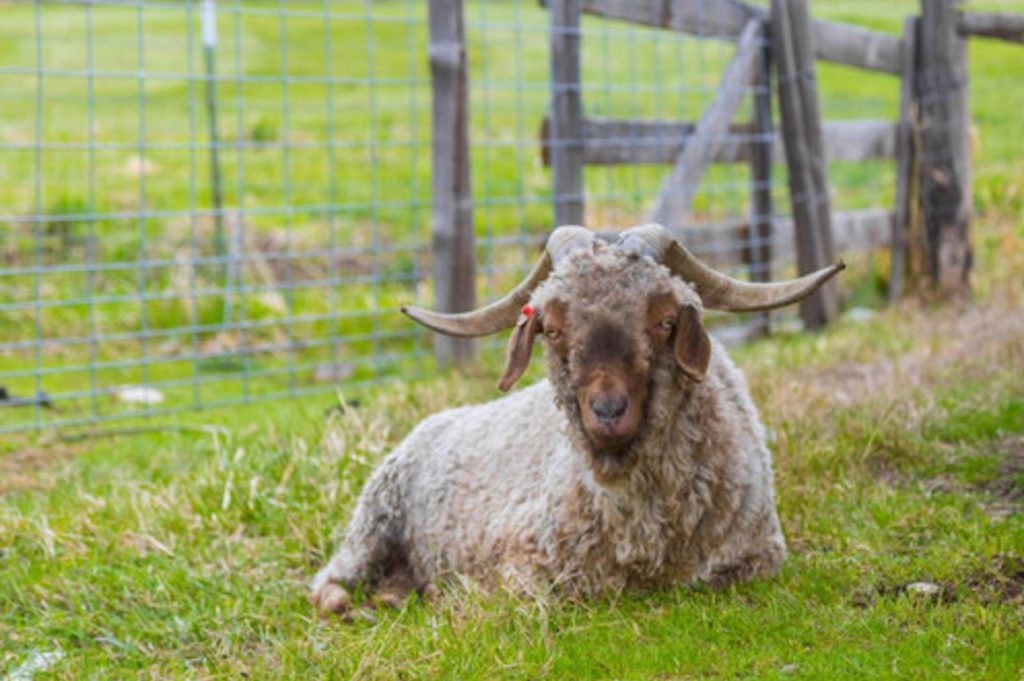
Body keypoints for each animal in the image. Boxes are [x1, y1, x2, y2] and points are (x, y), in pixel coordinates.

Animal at [310, 224, 843, 616]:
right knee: (326, 584)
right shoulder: (525, 562)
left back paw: (395, 595)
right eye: (551, 328)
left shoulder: (756, 554)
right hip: (373, 523)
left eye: (665, 321)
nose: (607, 413)